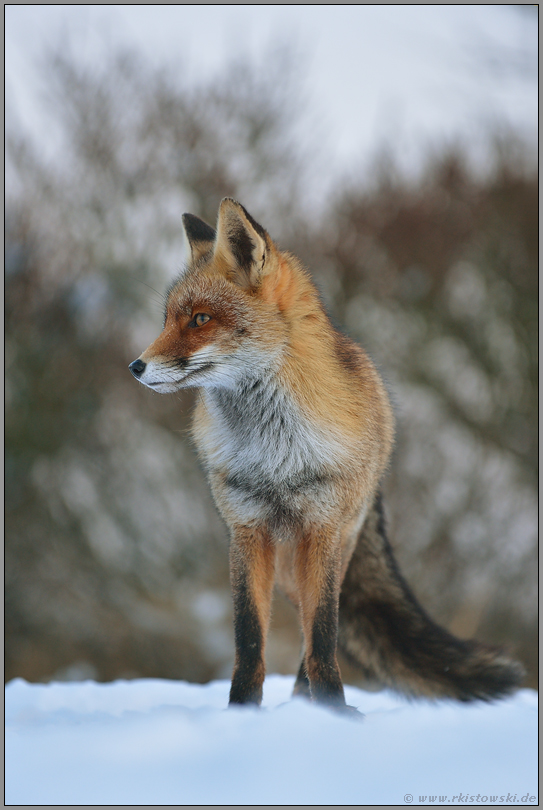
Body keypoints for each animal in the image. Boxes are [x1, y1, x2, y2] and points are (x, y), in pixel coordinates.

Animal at [129, 197, 524, 712]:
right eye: (168, 319)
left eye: (199, 319)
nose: (136, 366)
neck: (275, 454)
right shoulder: (247, 531)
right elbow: (249, 640)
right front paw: (241, 713)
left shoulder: (321, 529)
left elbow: (322, 636)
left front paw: (332, 713)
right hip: (288, 565)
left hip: (335, 545)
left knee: (319, 629)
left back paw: (310, 704)